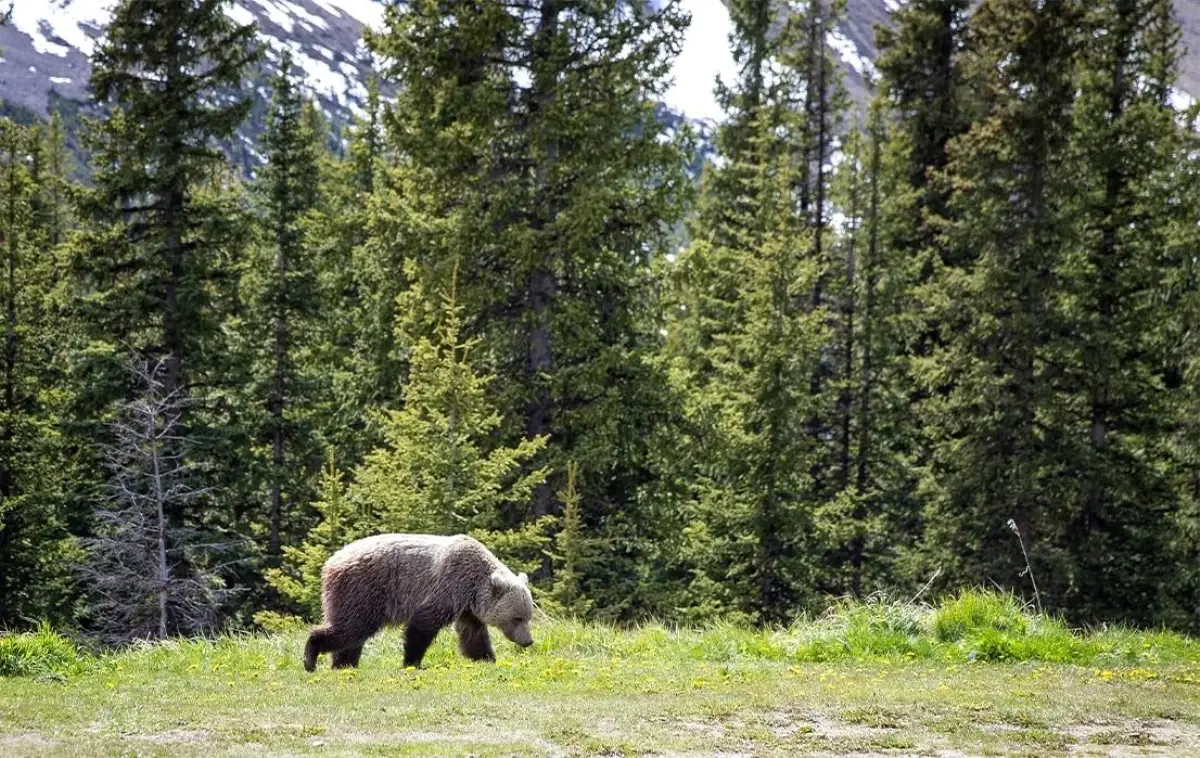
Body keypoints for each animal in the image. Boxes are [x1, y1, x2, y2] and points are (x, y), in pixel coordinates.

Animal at [304, 532, 535, 666]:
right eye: (517, 618)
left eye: (528, 617)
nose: (528, 641)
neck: (473, 586)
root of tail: (330, 562)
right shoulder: (447, 585)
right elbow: (423, 624)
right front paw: (411, 662)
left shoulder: (468, 607)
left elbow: (473, 634)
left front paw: (486, 658)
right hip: (363, 590)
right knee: (351, 627)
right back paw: (311, 655)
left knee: (352, 635)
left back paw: (344, 664)